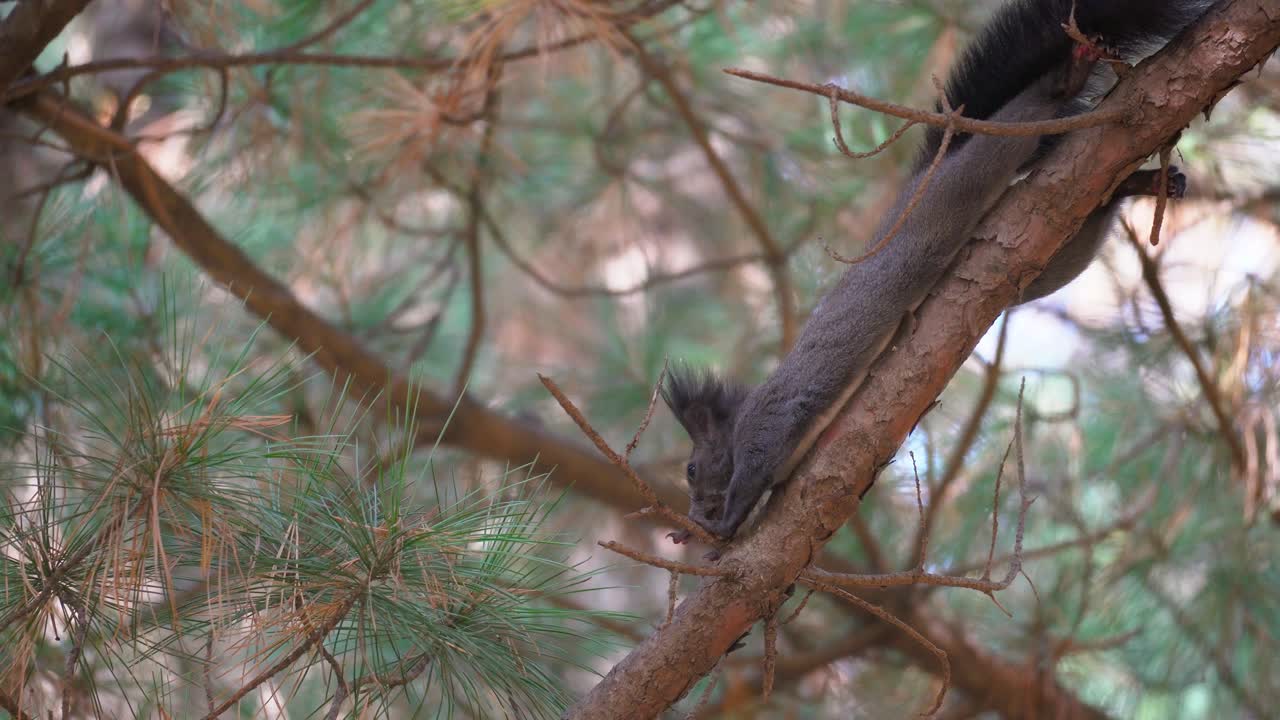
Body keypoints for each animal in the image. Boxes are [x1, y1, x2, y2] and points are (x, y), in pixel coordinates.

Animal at [663, 0, 1211, 543]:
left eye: (691, 469)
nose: (692, 511)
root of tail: (922, 180)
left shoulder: (769, 417)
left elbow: (759, 459)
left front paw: (720, 526)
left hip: (969, 176)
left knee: (1030, 113)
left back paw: (1067, 80)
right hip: (1049, 257)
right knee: (1090, 211)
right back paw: (1144, 182)